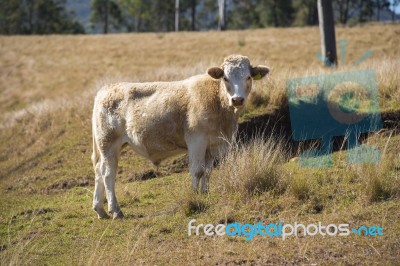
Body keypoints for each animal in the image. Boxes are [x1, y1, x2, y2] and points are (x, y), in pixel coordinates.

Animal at [92, 54, 270, 218]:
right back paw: (115, 210)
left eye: (248, 77)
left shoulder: (213, 145)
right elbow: (197, 170)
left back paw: (100, 209)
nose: (237, 99)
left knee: (99, 170)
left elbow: (208, 171)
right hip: (109, 144)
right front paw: (194, 195)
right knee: (108, 174)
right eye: (226, 78)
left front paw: (205, 193)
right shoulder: (197, 140)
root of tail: (106, 89)